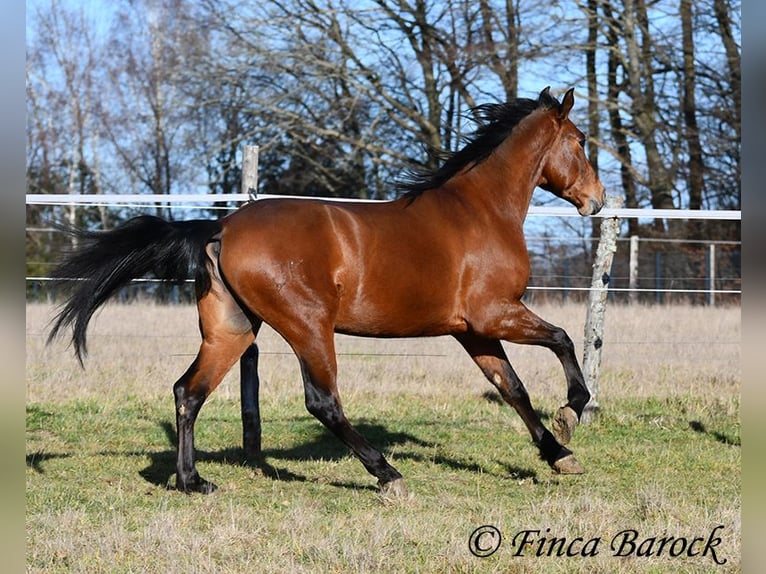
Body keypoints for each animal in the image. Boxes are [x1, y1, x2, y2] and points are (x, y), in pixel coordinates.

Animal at [49, 87, 604, 498]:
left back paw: (193, 482)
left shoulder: (472, 330)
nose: (597, 201)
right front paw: (571, 414)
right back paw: (388, 475)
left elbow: (513, 388)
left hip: (232, 329)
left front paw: (560, 456)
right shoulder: (496, 313)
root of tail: (223, 227)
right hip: (308, 326)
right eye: (580, 140)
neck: (480, 211)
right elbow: (562, 340)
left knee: (189, 391)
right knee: (322, 402)